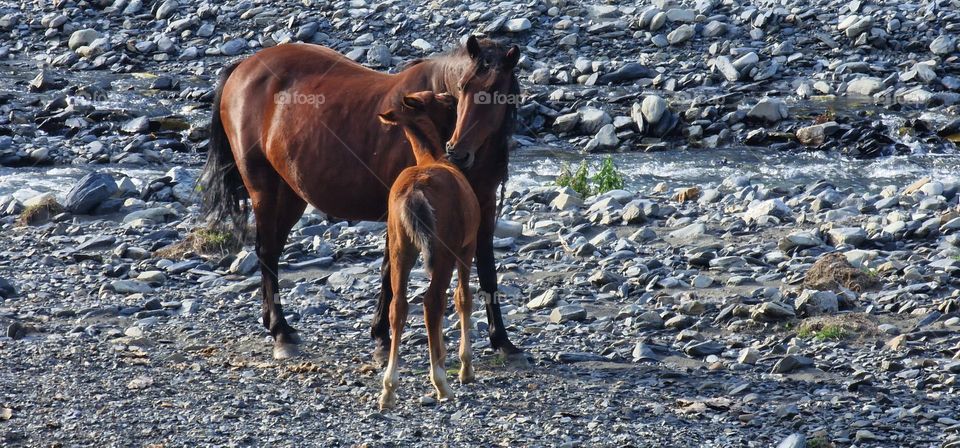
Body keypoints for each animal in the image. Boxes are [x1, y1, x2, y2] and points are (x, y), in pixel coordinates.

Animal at [376, 92, 478, 410]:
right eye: (442, 100)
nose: (454, 98)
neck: (430, 156)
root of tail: (415, 190)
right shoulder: (466, 249)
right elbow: (463, 298)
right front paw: (464, 367)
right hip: (443, 253)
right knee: (432, 302)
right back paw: (442, 383)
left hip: (400, 249)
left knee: (398, 306)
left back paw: (389, 388)